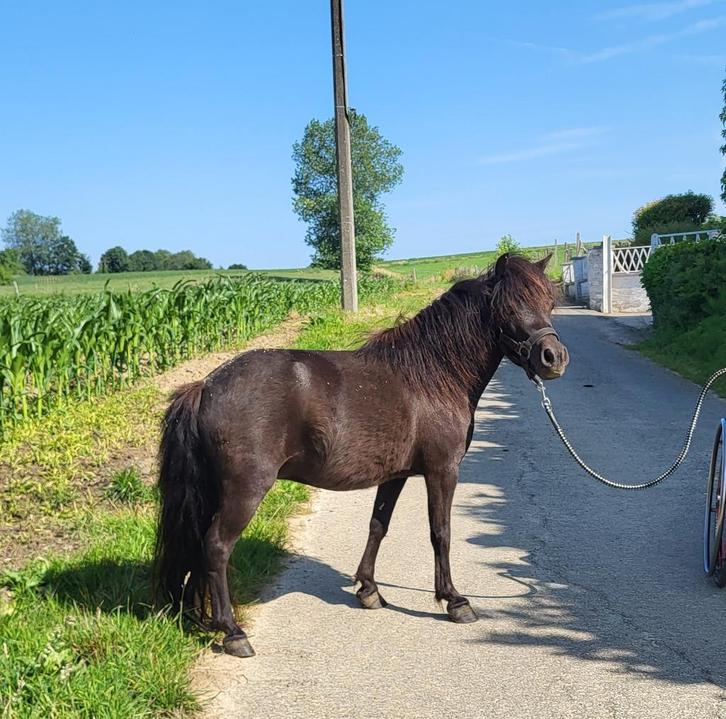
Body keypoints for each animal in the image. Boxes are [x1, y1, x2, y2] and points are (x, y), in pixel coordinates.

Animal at [154, 253, 569, 658]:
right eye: (510, 306)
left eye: (549, 302)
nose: (554, 358)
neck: (434, 376)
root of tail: (205, 385)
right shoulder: (443, 471)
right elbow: (441, 532)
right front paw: (454, 601)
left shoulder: (395, 476)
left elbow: (378, 526)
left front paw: (369, 590)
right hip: (245, 490)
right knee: (216, 547)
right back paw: (233, 632)